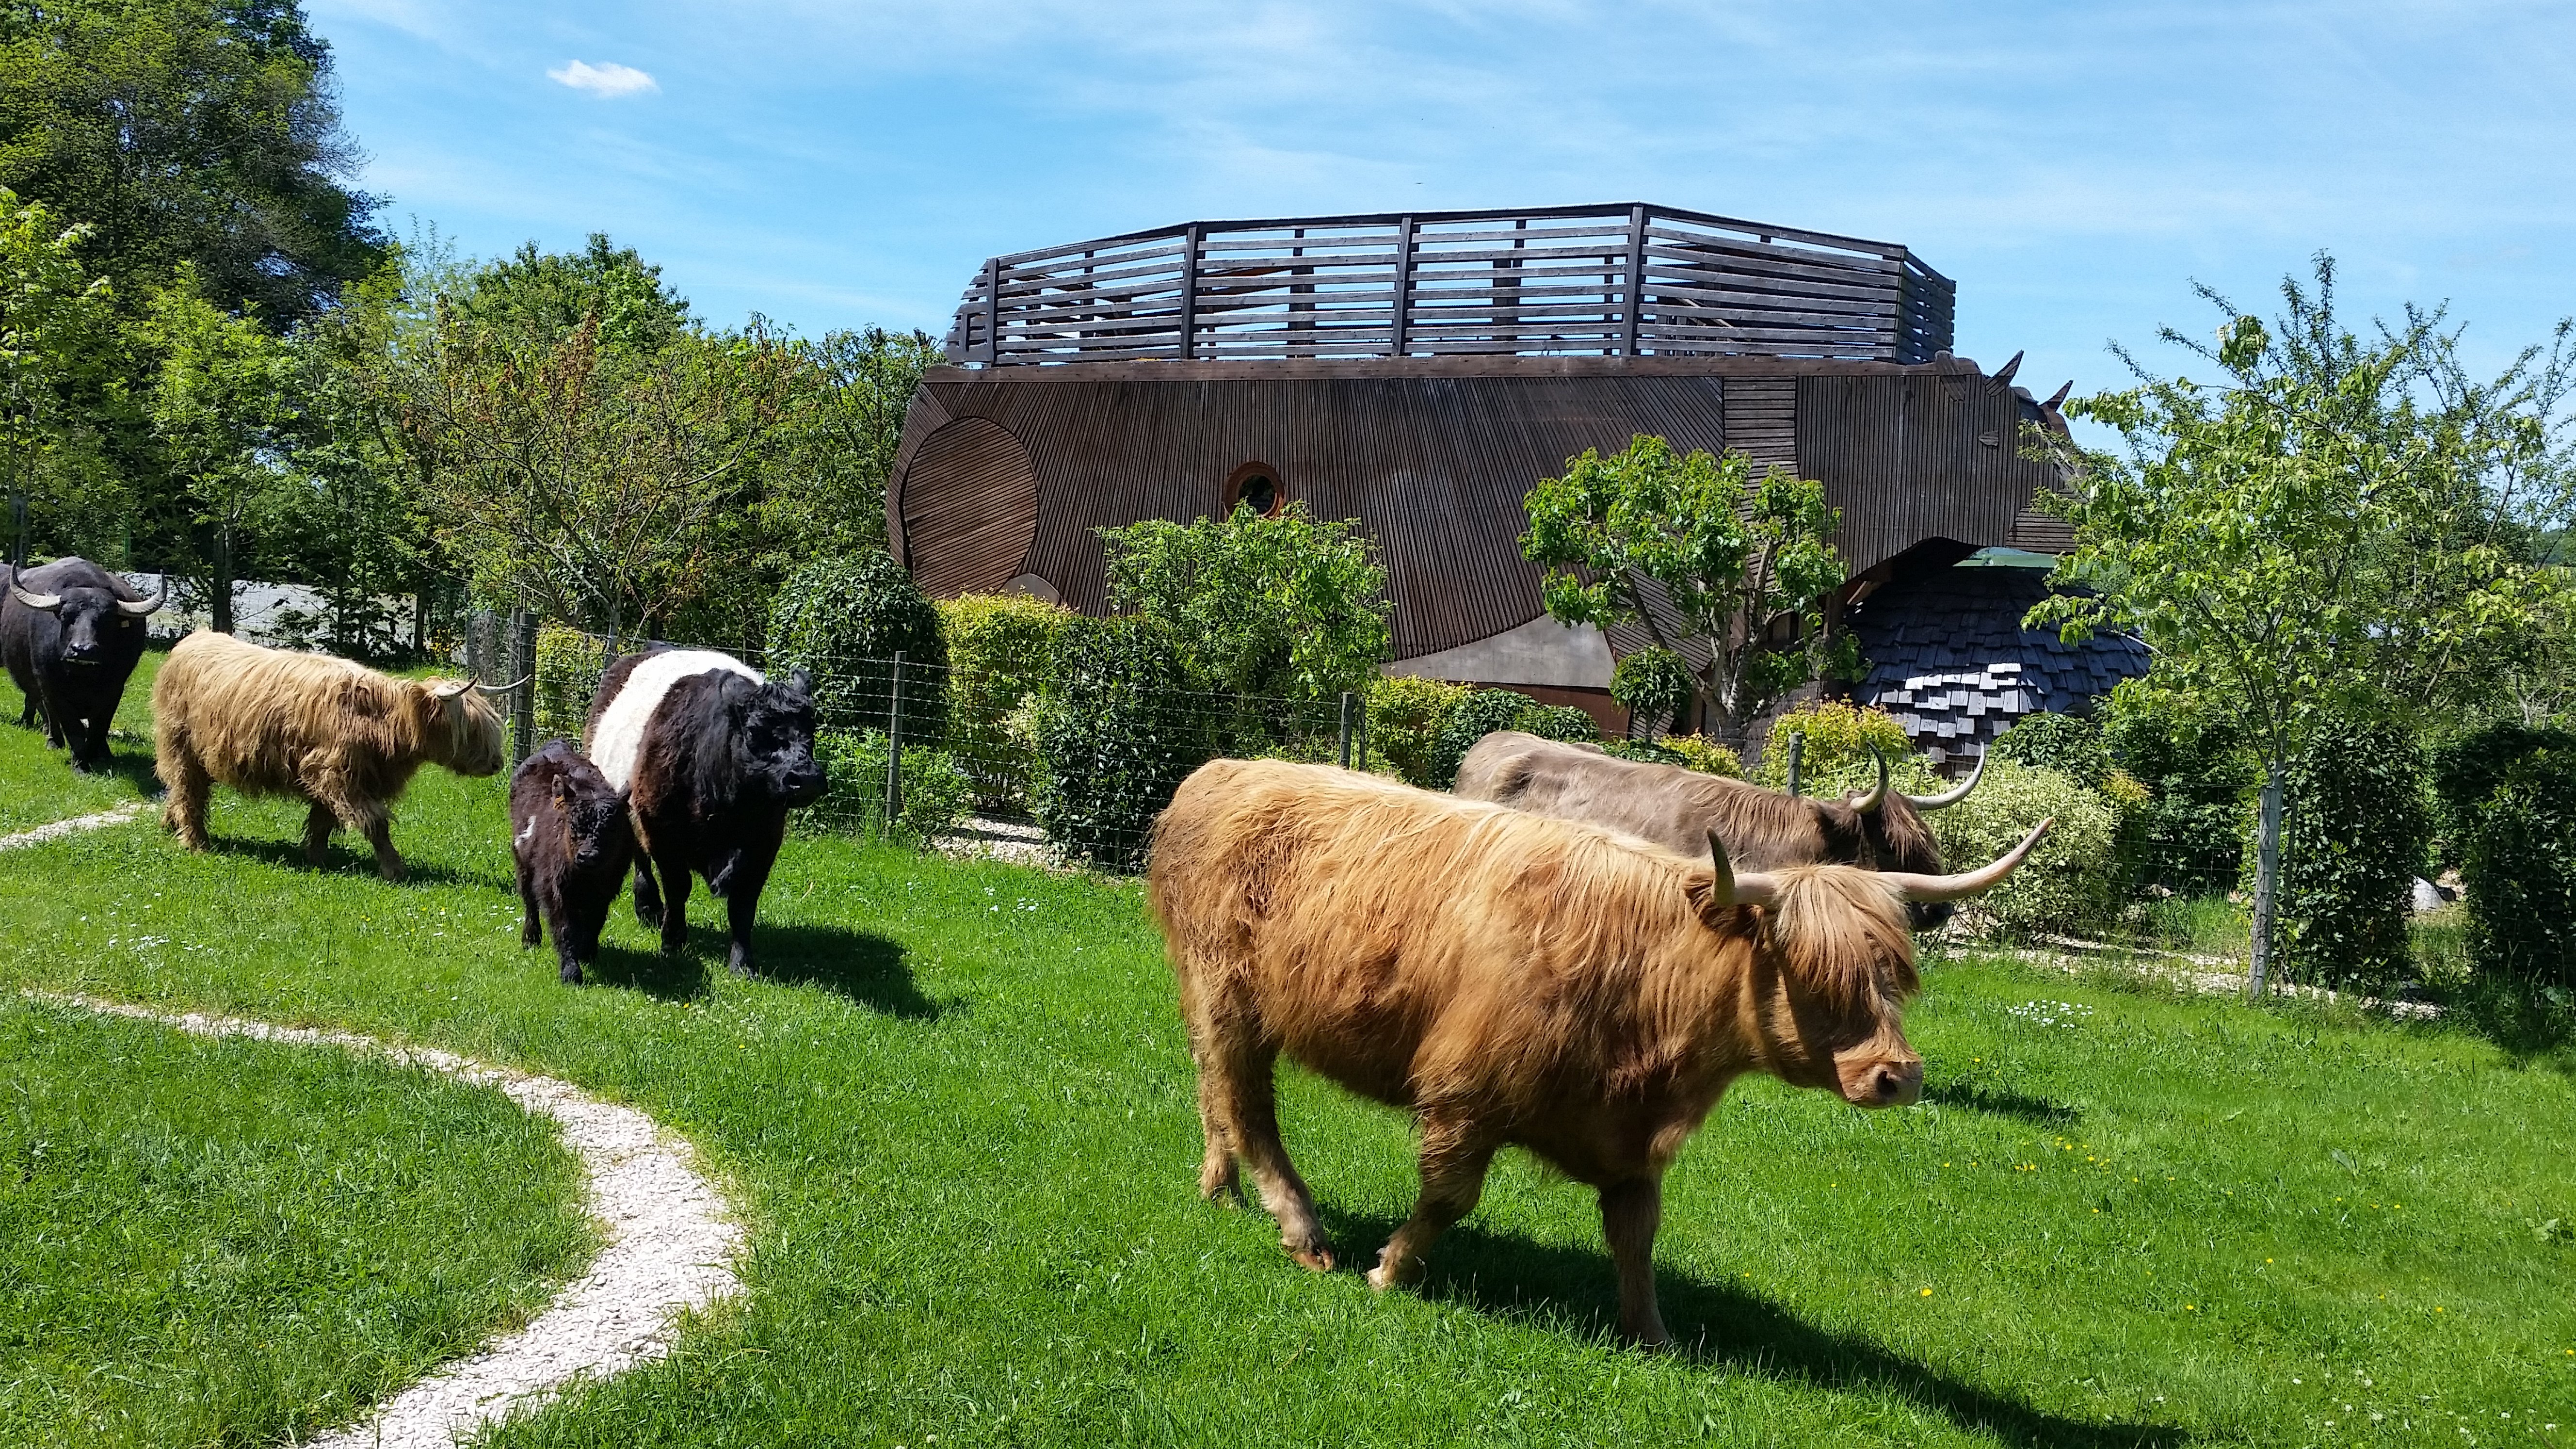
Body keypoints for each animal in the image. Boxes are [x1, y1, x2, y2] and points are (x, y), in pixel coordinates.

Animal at [3, 559, 166, 773]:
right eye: (65, 616)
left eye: (107, 620)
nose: (83, 650)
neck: (82, 677)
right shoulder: (54, 690)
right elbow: (74, 729)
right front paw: (80, 764)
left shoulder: (114, 691)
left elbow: (100, 726)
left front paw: (96, 755)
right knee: (46, 711)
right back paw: (54, 741)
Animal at [152, 630, 510, 880]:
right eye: (471, 729)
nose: (497, 764)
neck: (381, 721)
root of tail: (194, 638)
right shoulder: (337, 774)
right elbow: (375, 824)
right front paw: (395, 869)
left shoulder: (336, 775)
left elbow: (324, 820)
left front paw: (318, 857)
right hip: (180, 744)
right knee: (189, 791)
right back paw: (196, 844)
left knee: (182, 791)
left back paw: (170, 825)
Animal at [510, 740, 636, 985]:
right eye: (573, 825)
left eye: (613, 828)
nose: (587, 856)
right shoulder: (553, 888)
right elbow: (564, 928)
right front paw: (571, 971)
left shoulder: (606, 891)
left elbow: (595, 922)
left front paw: (588, 953)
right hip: (522, 862)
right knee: (529, 900)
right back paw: (531, 938)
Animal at [583, 647, 825, 975]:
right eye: (754, 731)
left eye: (812, 729)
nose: (807, 778)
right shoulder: (662, 831)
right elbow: (678, 888)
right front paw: (672, 940)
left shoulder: (764, 843)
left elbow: (743, 904)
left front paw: (742, 963)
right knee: (641, 858)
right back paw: (648, 907)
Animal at [1148, 758, 2045, 1345]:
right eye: (1811, 970)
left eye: (1892, 972)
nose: (1898, 1076)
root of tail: (1221, 770)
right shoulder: (1464, 1094)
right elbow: (1447, 1198)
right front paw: (1390, 1270)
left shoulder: (1632, 1142)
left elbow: (1637, 1234)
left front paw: (1653, 1334)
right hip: (1227, 992)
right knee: (1248, 1104)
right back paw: (1301, 1230)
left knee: (1213, 1087)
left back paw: (1219, 1186)